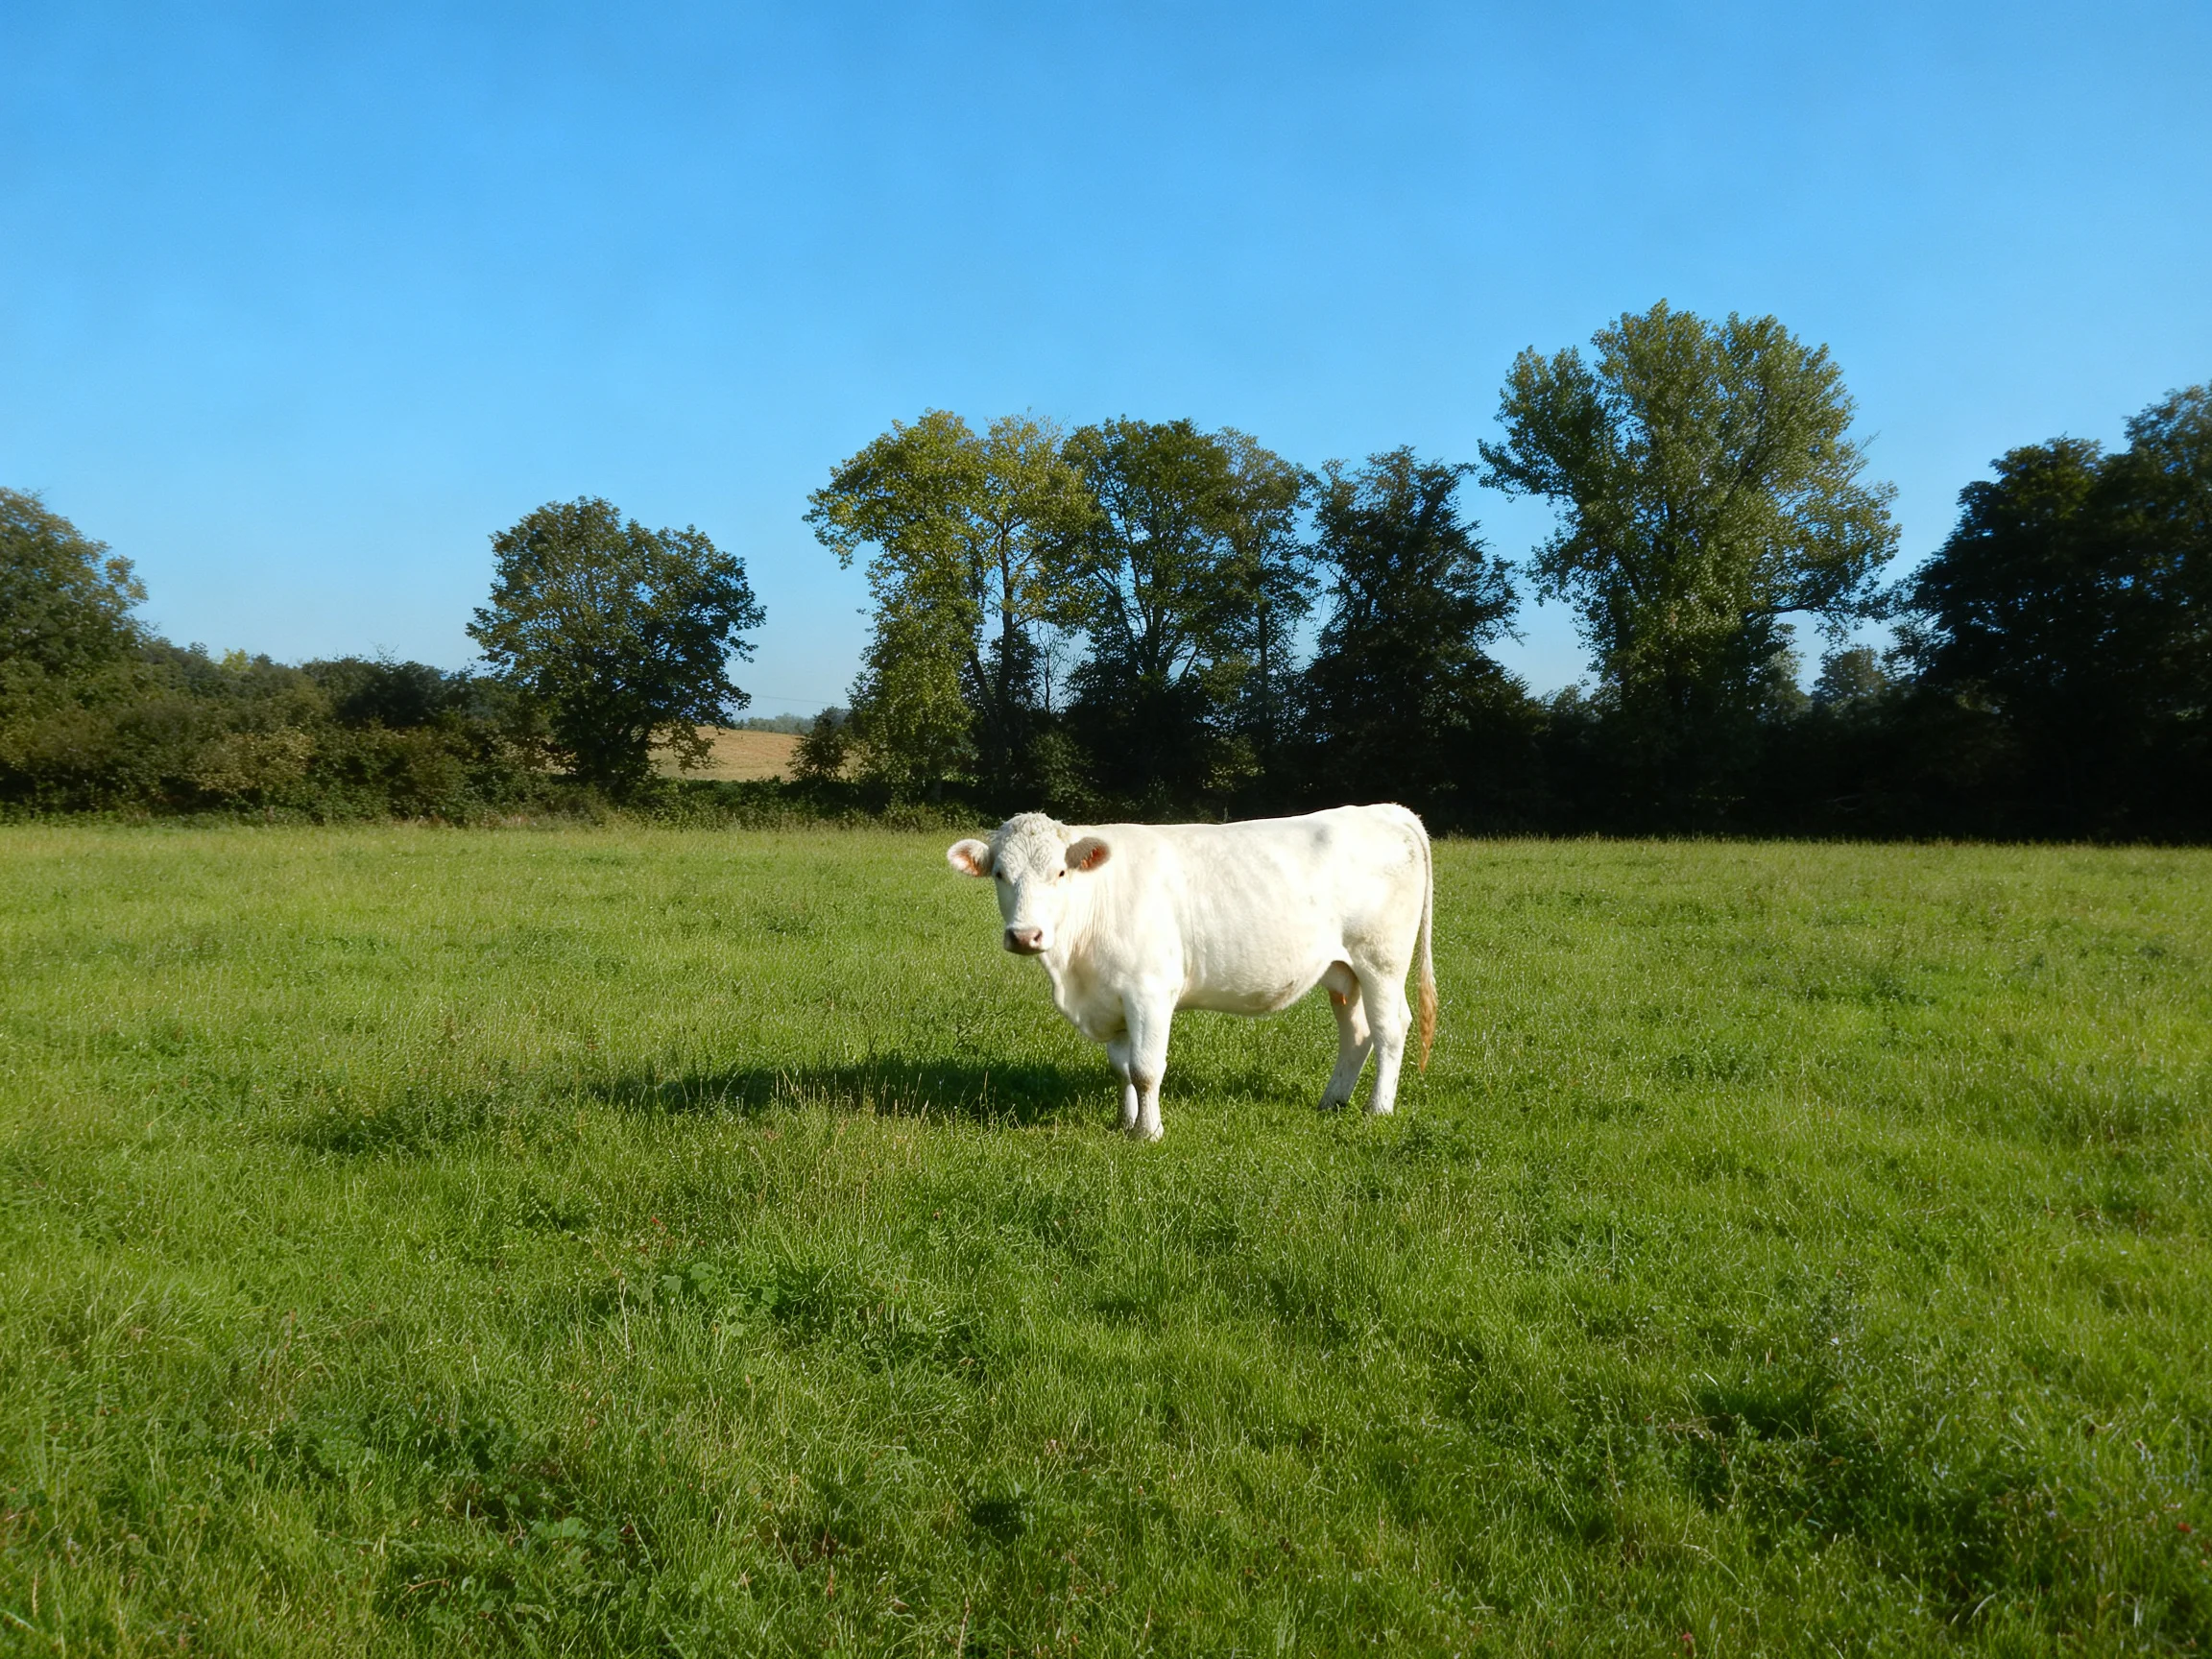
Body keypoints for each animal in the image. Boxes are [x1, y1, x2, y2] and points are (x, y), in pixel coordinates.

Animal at [946, 805, 1435, 1140]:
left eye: (1061, 871)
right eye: (999, 873)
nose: (1025, 935)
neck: (1074, 971)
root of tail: (1384, 809)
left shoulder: (1149, 991)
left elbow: (1145, 1068)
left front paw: (1148, 1133)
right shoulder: (1114, 997)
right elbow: (1121, 1069)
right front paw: (1125, 1121)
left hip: (1382, 961)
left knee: (1390, 1028)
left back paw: (1378, 1108)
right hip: (1343, 972)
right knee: (1357, 1034)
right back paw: (1332, 1101)